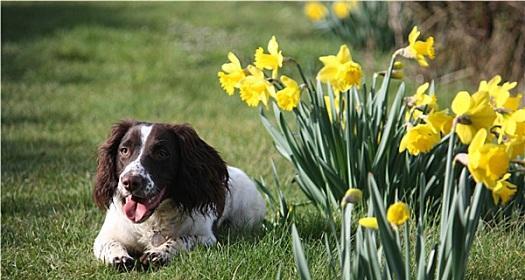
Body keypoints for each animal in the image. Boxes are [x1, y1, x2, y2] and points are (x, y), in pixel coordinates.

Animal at [92, 120, 266, 270]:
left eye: (162, 153)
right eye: (124, 150)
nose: (130, 182)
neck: (154, 220)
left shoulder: (206, 238)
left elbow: (181, 239)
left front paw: (158, 253)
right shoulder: (105, 237)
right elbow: (110, 244)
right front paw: (119, 258)